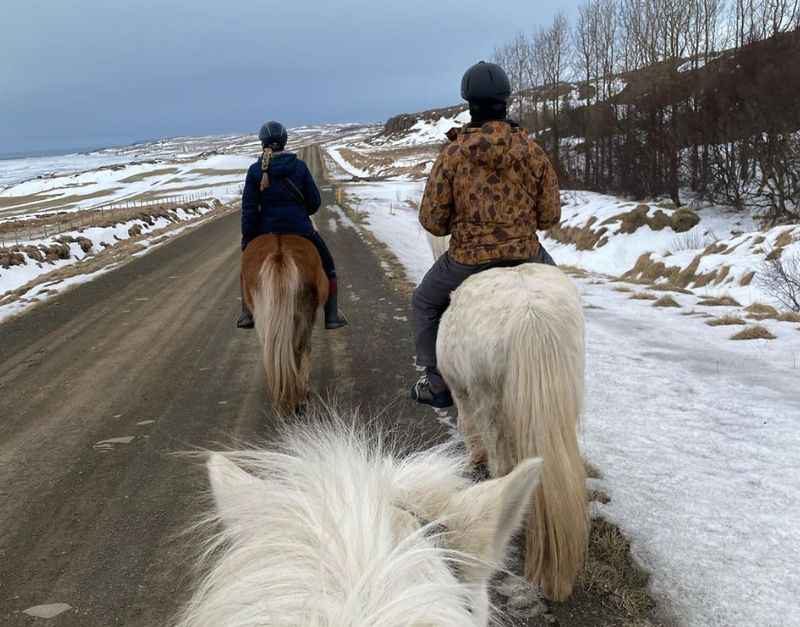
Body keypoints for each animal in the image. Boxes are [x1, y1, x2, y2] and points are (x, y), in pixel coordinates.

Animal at [438, 262, 588, 600]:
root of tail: (531, 314)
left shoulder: (460, 391)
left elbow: (468, 428)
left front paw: (473, 461)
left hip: (487, 399)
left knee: (500, 462)